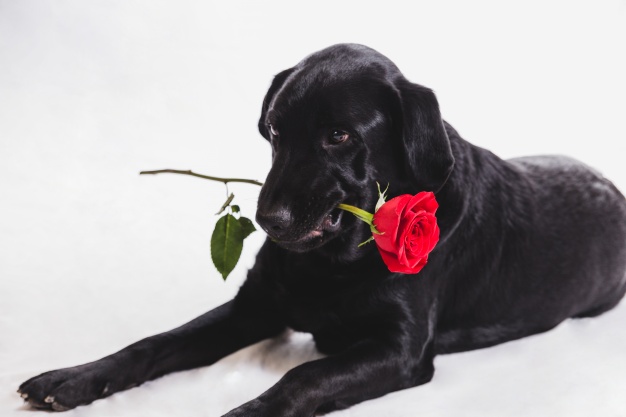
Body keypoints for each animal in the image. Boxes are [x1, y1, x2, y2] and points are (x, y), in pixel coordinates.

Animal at [15, 44, 624, 414]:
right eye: (275, 130)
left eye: (339, 135)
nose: (268, 219)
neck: (333, 261)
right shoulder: (253, 308)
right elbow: (153, 343)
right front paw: (72, 378)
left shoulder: (400, 349)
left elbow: (303, 377)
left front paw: (251, 410)